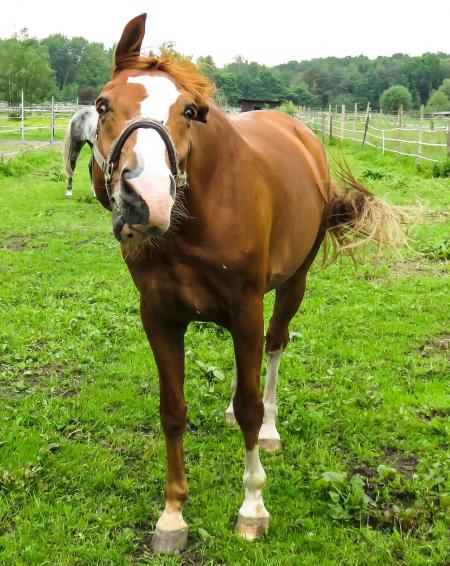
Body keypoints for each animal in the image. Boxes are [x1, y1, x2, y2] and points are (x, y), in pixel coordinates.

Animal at [91, 12, 404, 556]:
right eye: (104, 104)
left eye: (190, 111)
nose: (141, 200)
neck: (196, 218)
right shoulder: (160, 317)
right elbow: (173, 409)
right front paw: (172, 515)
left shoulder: (247, 308)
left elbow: (253, 406)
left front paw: (253, 508)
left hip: (290, 287)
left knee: (274, 349)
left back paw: (273, 430)